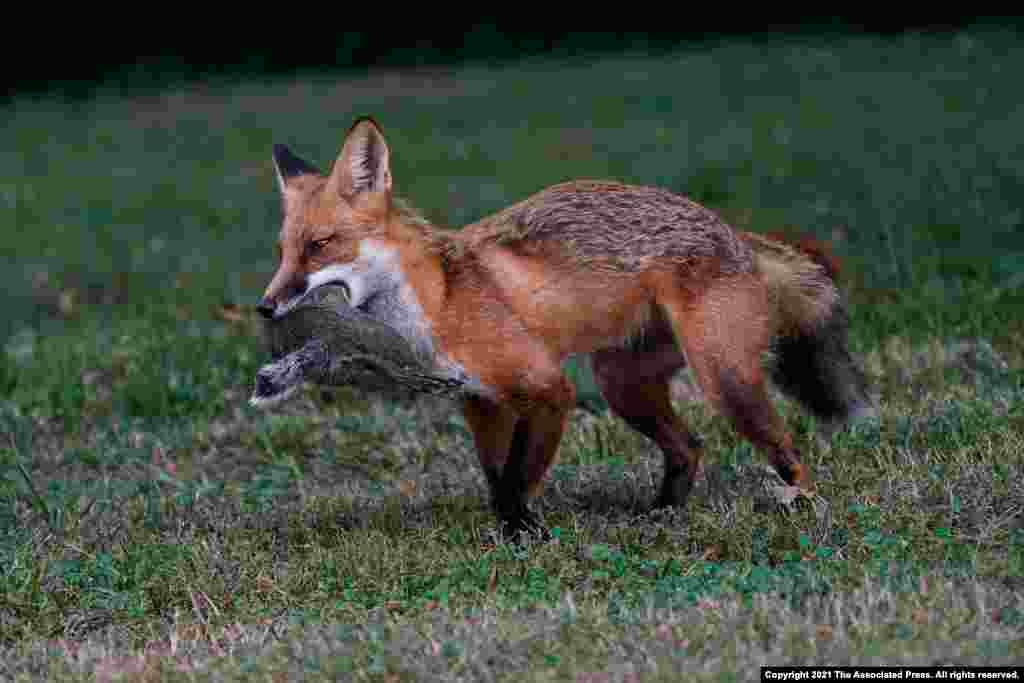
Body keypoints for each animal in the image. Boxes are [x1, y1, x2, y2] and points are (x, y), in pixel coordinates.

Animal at [258, 116, 873, 538]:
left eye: (319, 246)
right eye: (283, 251)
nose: (265, 308)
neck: (438, 300)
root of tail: (733, 231)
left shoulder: (548, 390)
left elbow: (514, 482)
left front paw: (526, 536)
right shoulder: (483, 403)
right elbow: (495, 478)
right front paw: (514, 532)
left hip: (723, 381)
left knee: (790, 454)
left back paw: (803, 507)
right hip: (623, 385)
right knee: (690, 448)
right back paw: (660, 516)